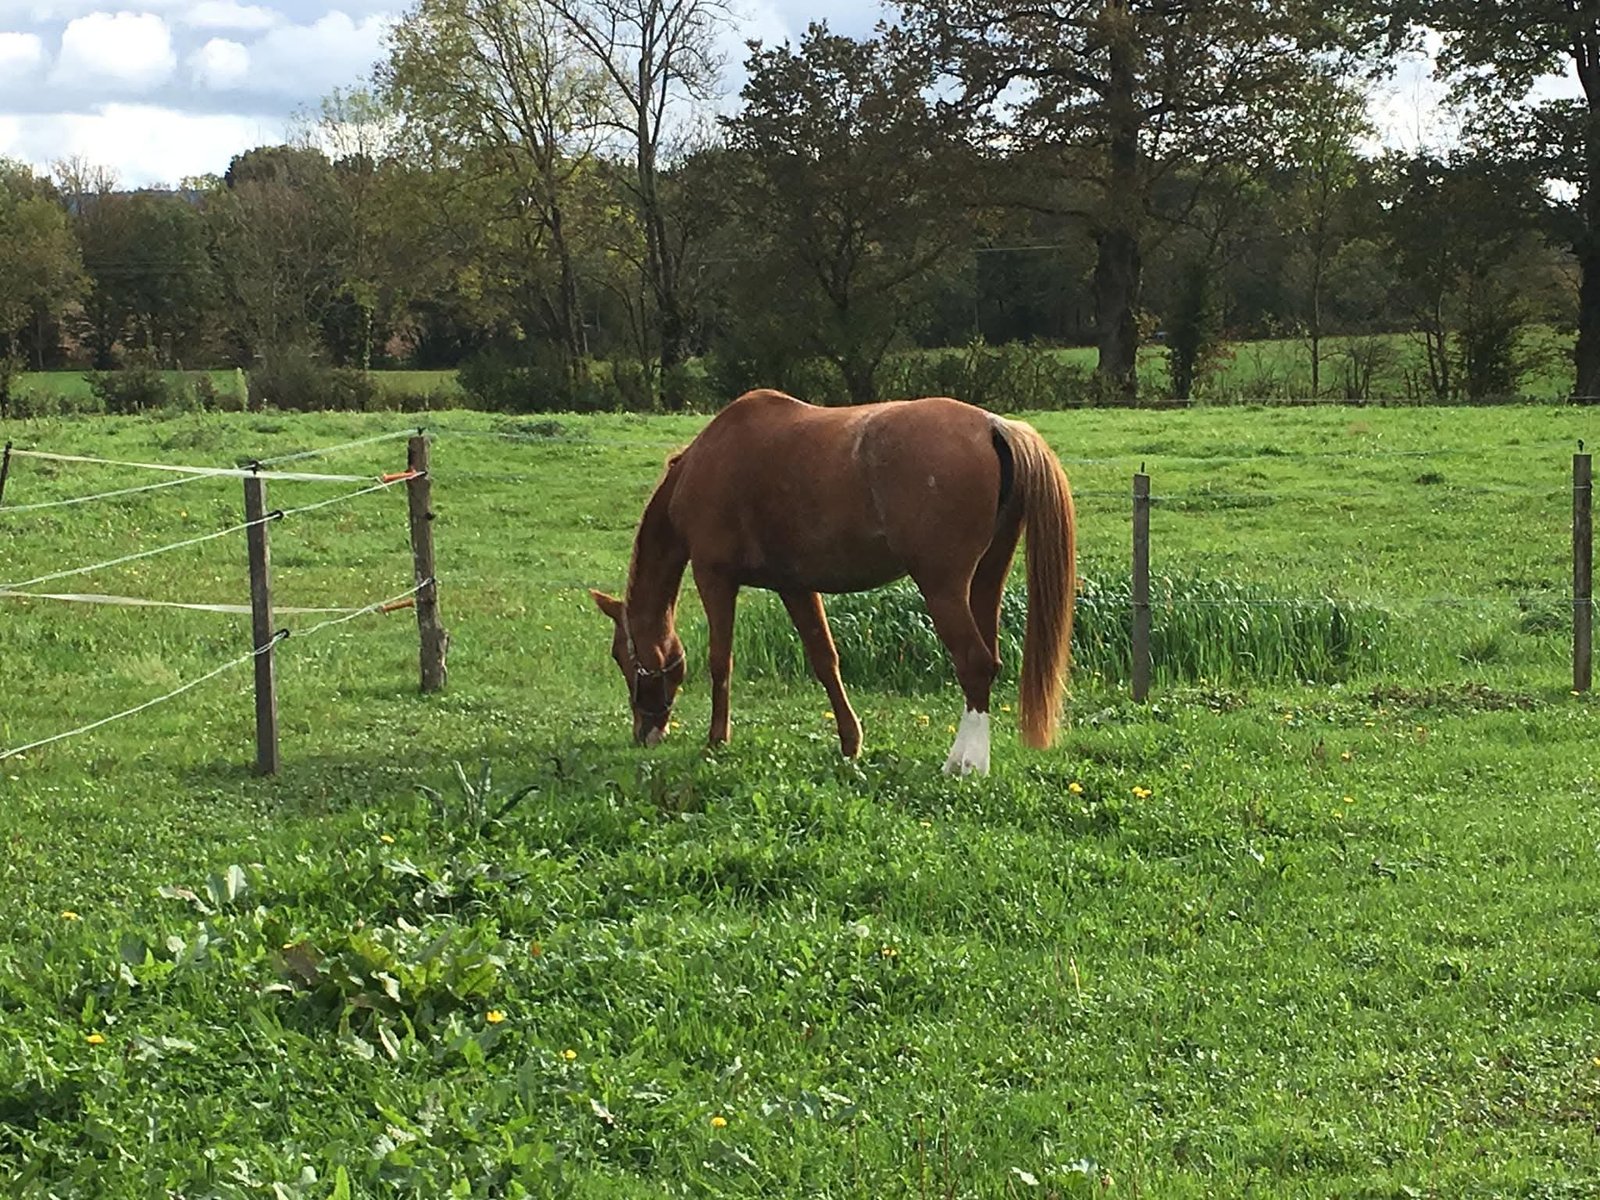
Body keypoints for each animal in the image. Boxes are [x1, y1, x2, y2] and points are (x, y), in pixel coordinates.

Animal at [589, 389, 1076, 775]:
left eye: (621, 656)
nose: (644, 731)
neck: (706, 463)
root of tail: (993, 427)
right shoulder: (795, 586)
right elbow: (825, 659)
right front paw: (850, 741)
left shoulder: (715, 577)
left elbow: (720, 661)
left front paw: (716, 739)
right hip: (986, 579)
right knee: (988, 661)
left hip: (943, 588)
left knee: (974, 663)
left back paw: (965, 763)